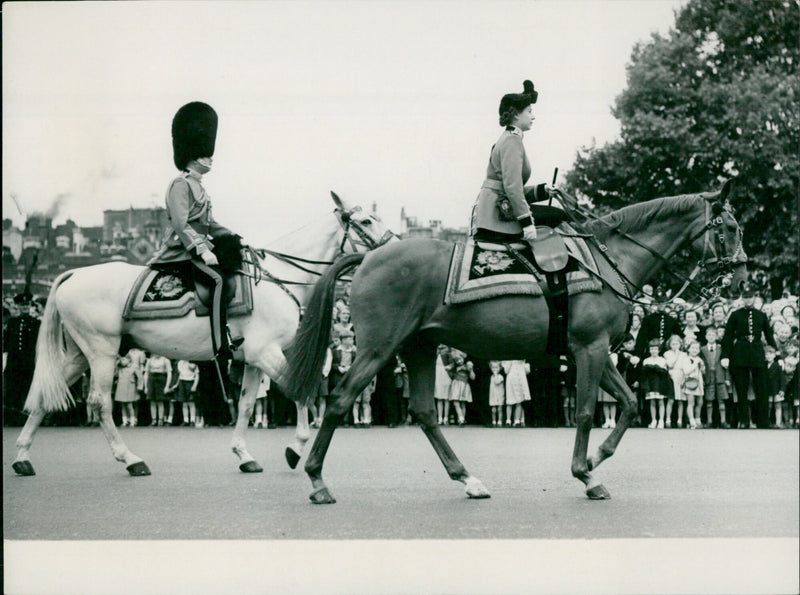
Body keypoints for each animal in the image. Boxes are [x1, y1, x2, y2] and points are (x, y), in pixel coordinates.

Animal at [12, 193, 394, 478]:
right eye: (366, 221)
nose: (395, 247)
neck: (276, 277)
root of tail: (74, 274)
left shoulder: (252, 358)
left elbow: (246, 404)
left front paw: (243, 454)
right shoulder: (266, 352)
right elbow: (300, 390)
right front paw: (294, 448)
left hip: (81, 354)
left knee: (48, 394)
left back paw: (22, 457)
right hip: (102, 352)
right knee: (99, 403)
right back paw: (131, 459)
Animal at [284, 182, 748, 502]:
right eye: (728, 228)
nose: (742, 277)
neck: (607, 261)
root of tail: (369, 256)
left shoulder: (595, 351)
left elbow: (631, 404)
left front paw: (595, 460)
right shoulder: (590, 348)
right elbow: (585, 412)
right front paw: (586, 473)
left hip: (419, 346)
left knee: (425, 412)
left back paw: (468, 479)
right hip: (380, 348)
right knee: (340, 400)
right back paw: (316, 479)